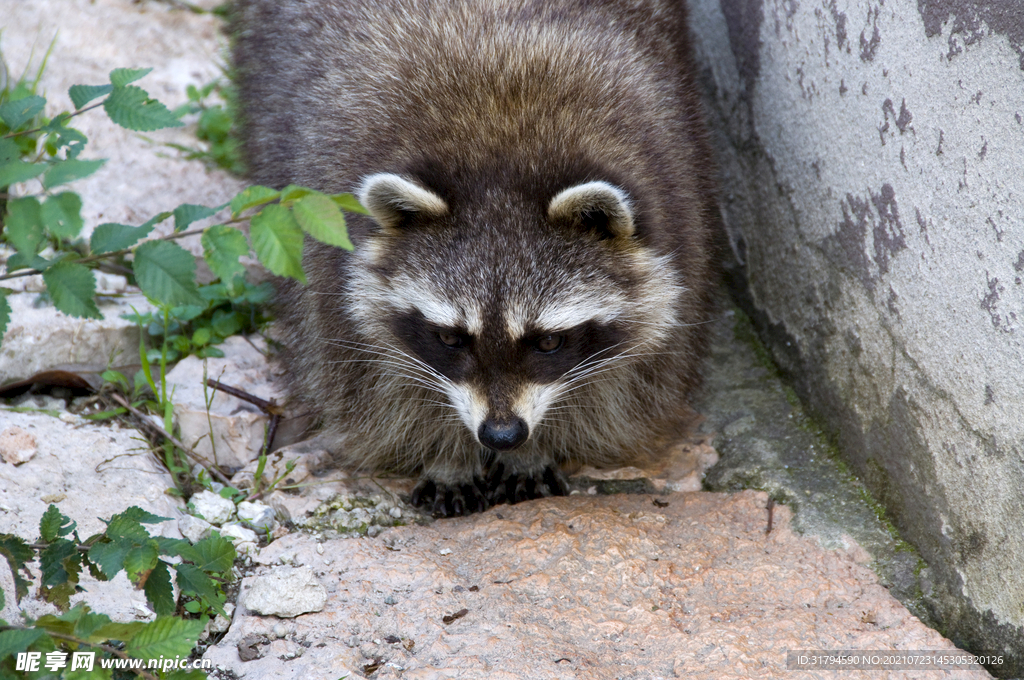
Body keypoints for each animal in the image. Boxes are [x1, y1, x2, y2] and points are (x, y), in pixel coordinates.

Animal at [233, 0, 720, 516]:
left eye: (549, 342)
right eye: (450, 337)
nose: (502, 435)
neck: (501, 148)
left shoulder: (677, 220)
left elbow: (617, 386)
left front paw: (534, 450)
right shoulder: (330, 278)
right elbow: (379, 388)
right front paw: (446, 453)